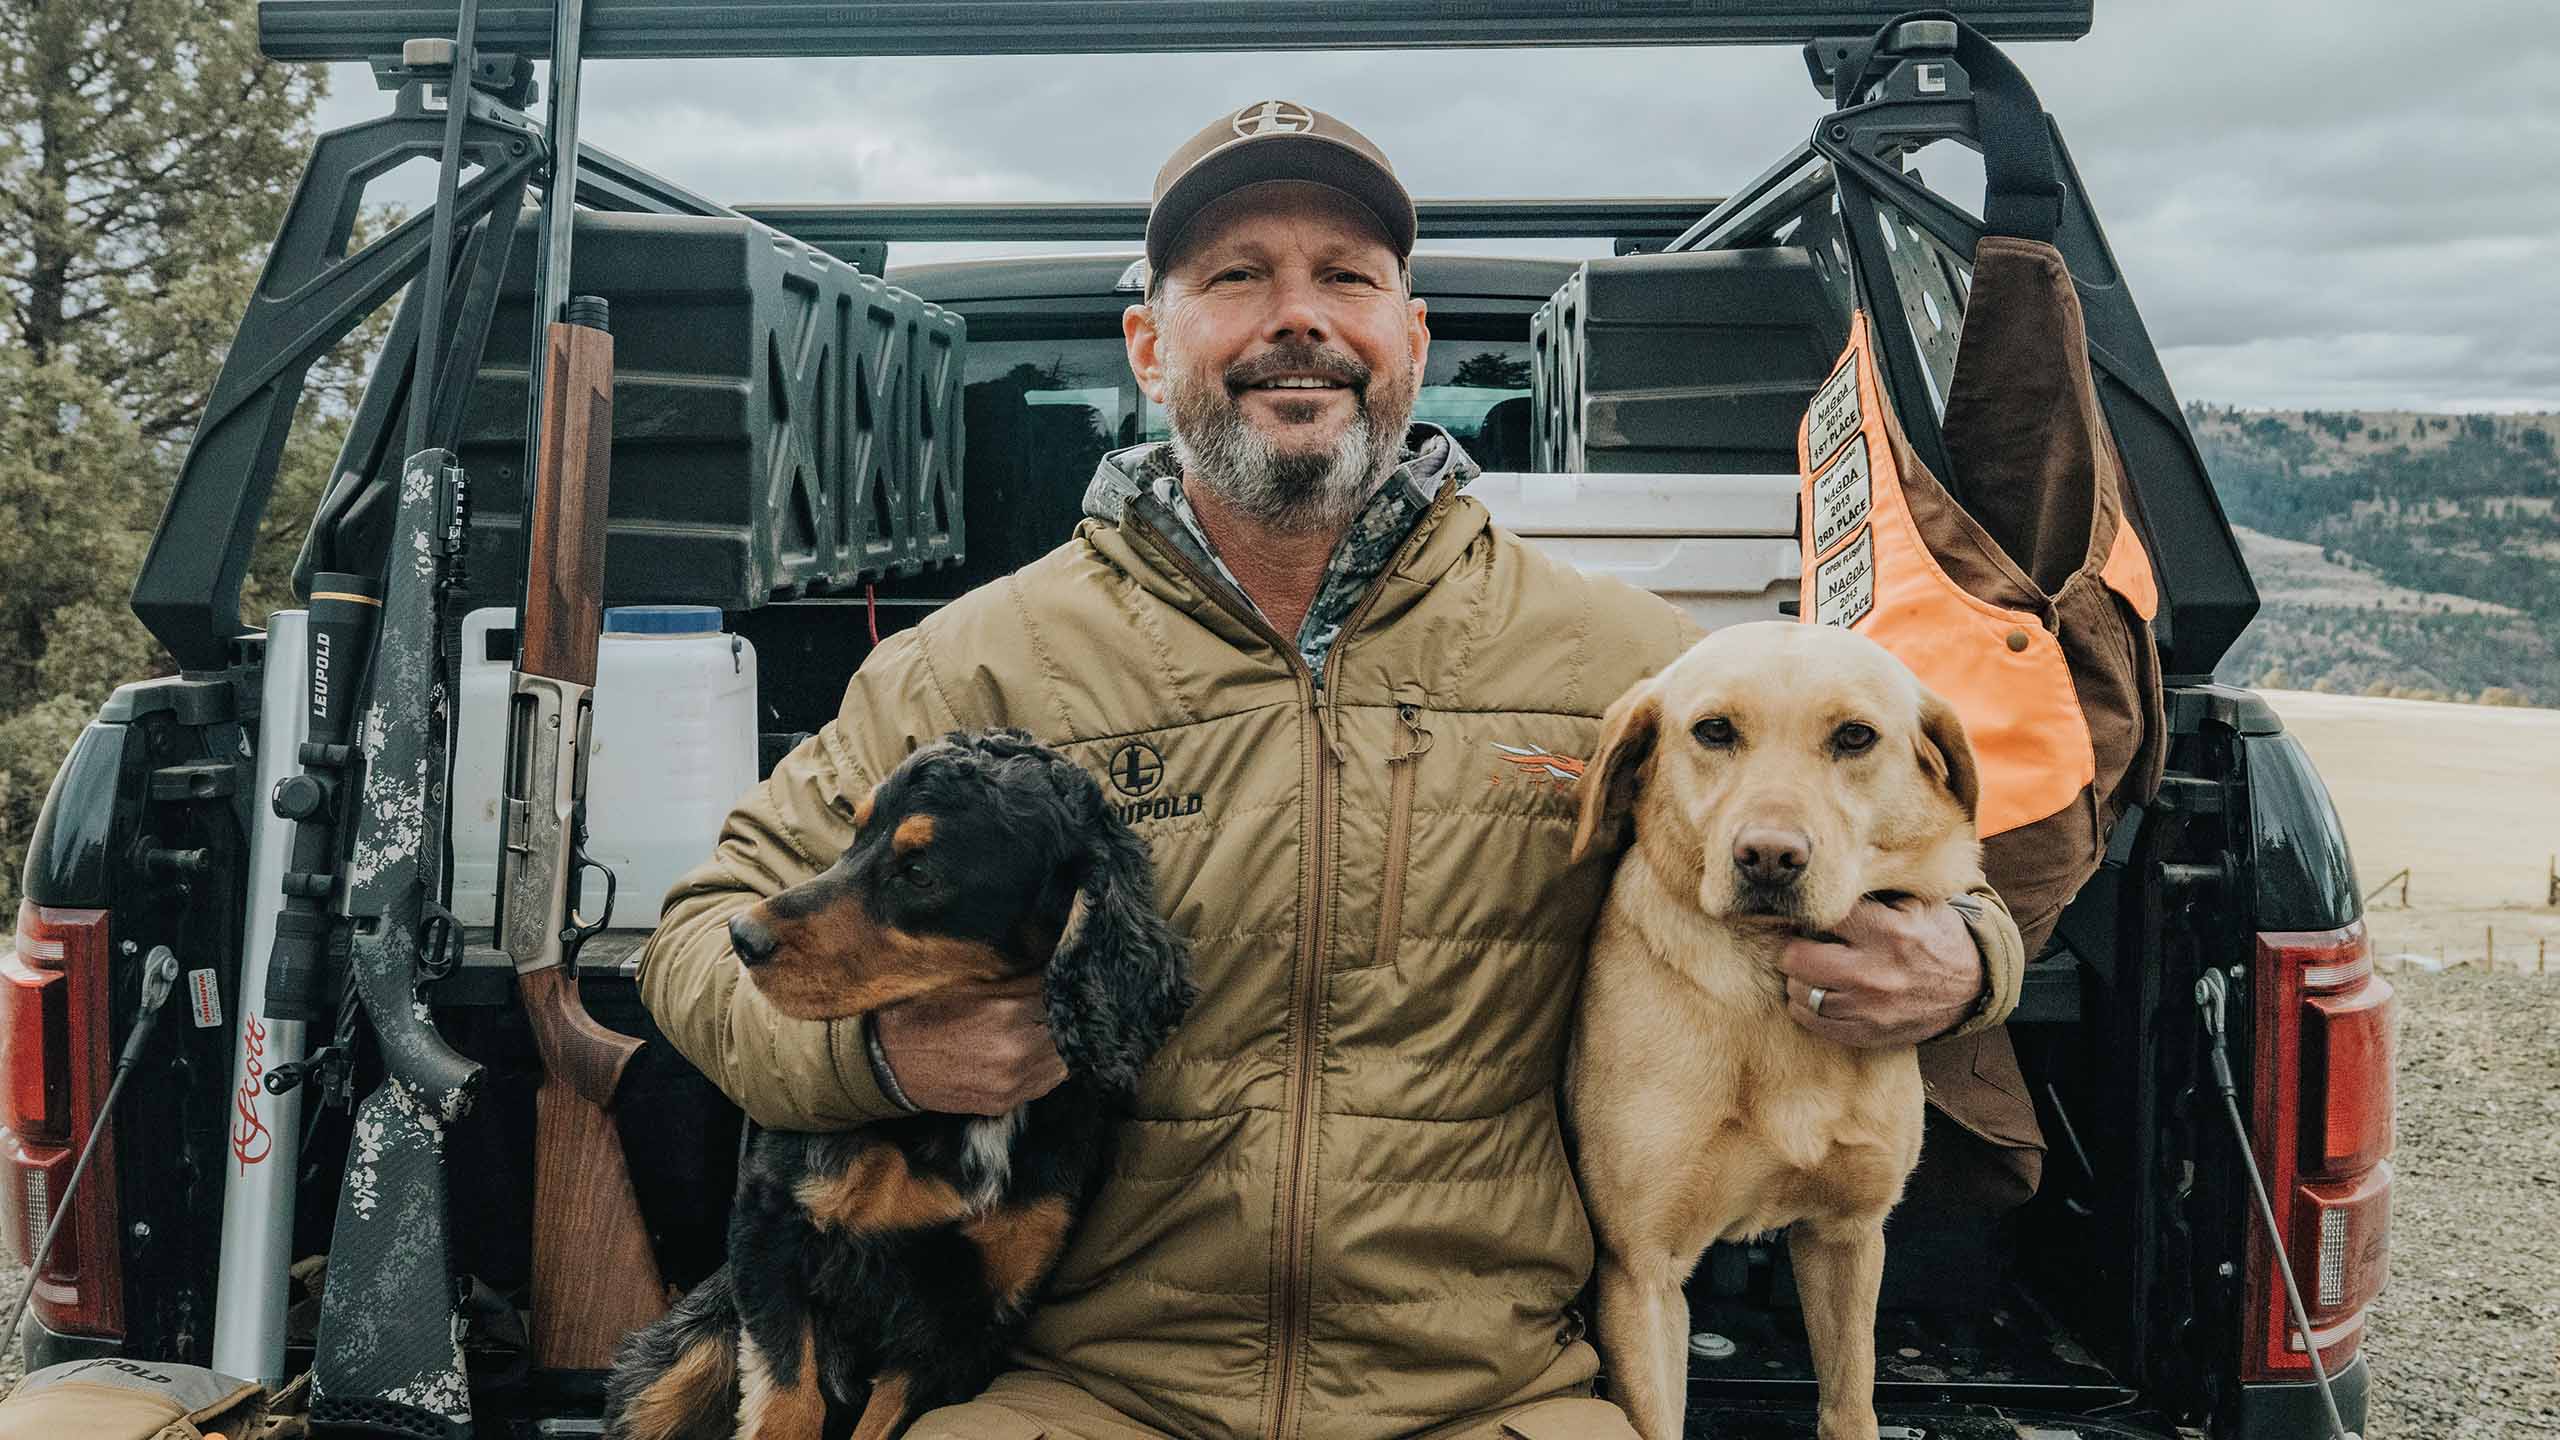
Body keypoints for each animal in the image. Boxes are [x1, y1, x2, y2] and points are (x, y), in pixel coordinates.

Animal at [604, 727, 1192, 1434]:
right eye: (854, 834)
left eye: (919, 872)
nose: (742, 937)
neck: (965, 1121)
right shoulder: (771, 1230)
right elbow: (788, 1399)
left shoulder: (973, 1316)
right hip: (678, 1359)